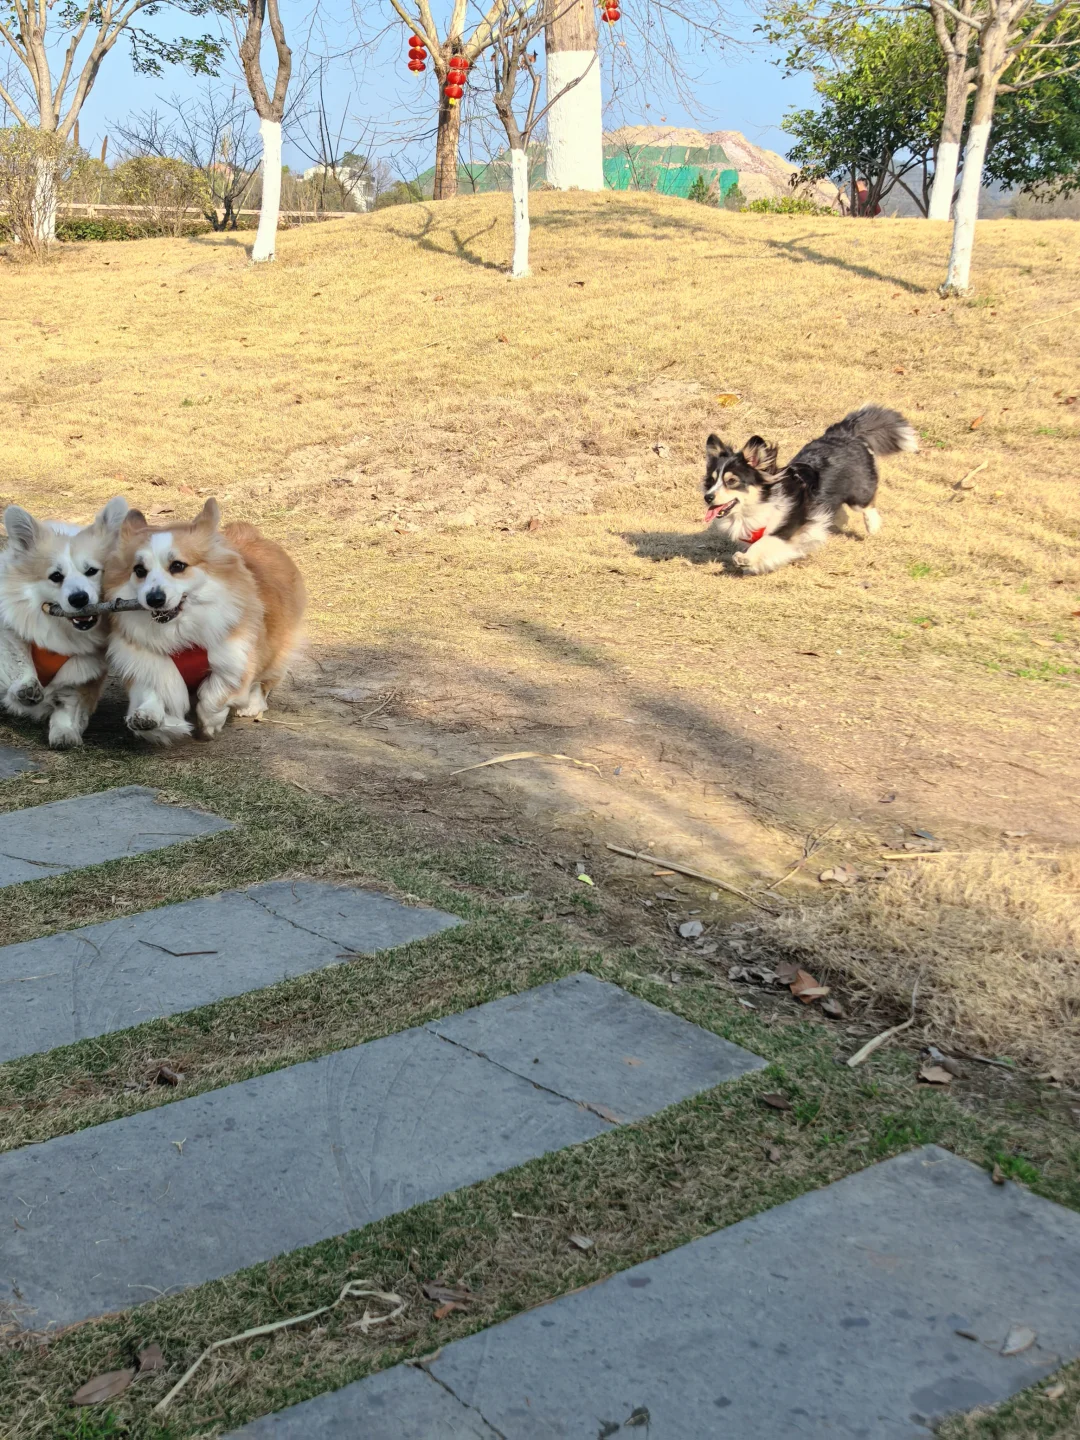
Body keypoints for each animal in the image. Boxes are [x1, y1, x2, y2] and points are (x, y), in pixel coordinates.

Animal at [0, 498, 128, 748]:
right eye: (56, 576)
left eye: (92, 571)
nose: (79, 598)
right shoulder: (10, 635)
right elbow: (19, 660)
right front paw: (26, 687)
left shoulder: (83, 673)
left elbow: (68, 705)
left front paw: (65, 732)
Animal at [104, 499, 306, 744]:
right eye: (139, 570)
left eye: (178, 566)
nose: (154, 599)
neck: (179, 631)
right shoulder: (148, 663)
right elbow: (154, 692)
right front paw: (146, 716)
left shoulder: (235, 660)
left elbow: (214, 696)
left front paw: (209, 725)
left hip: (277, 646)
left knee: (265, 680)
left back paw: (251, 705)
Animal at [703, 406, 917, 575]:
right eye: (712, 480)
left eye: (732, 481)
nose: (708, 497)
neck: (760, 503)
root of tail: (845, 432)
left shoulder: (791, 525)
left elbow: (766, 542)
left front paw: (745, 558)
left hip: (858, 493)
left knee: (867, 504)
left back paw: (872, 526)